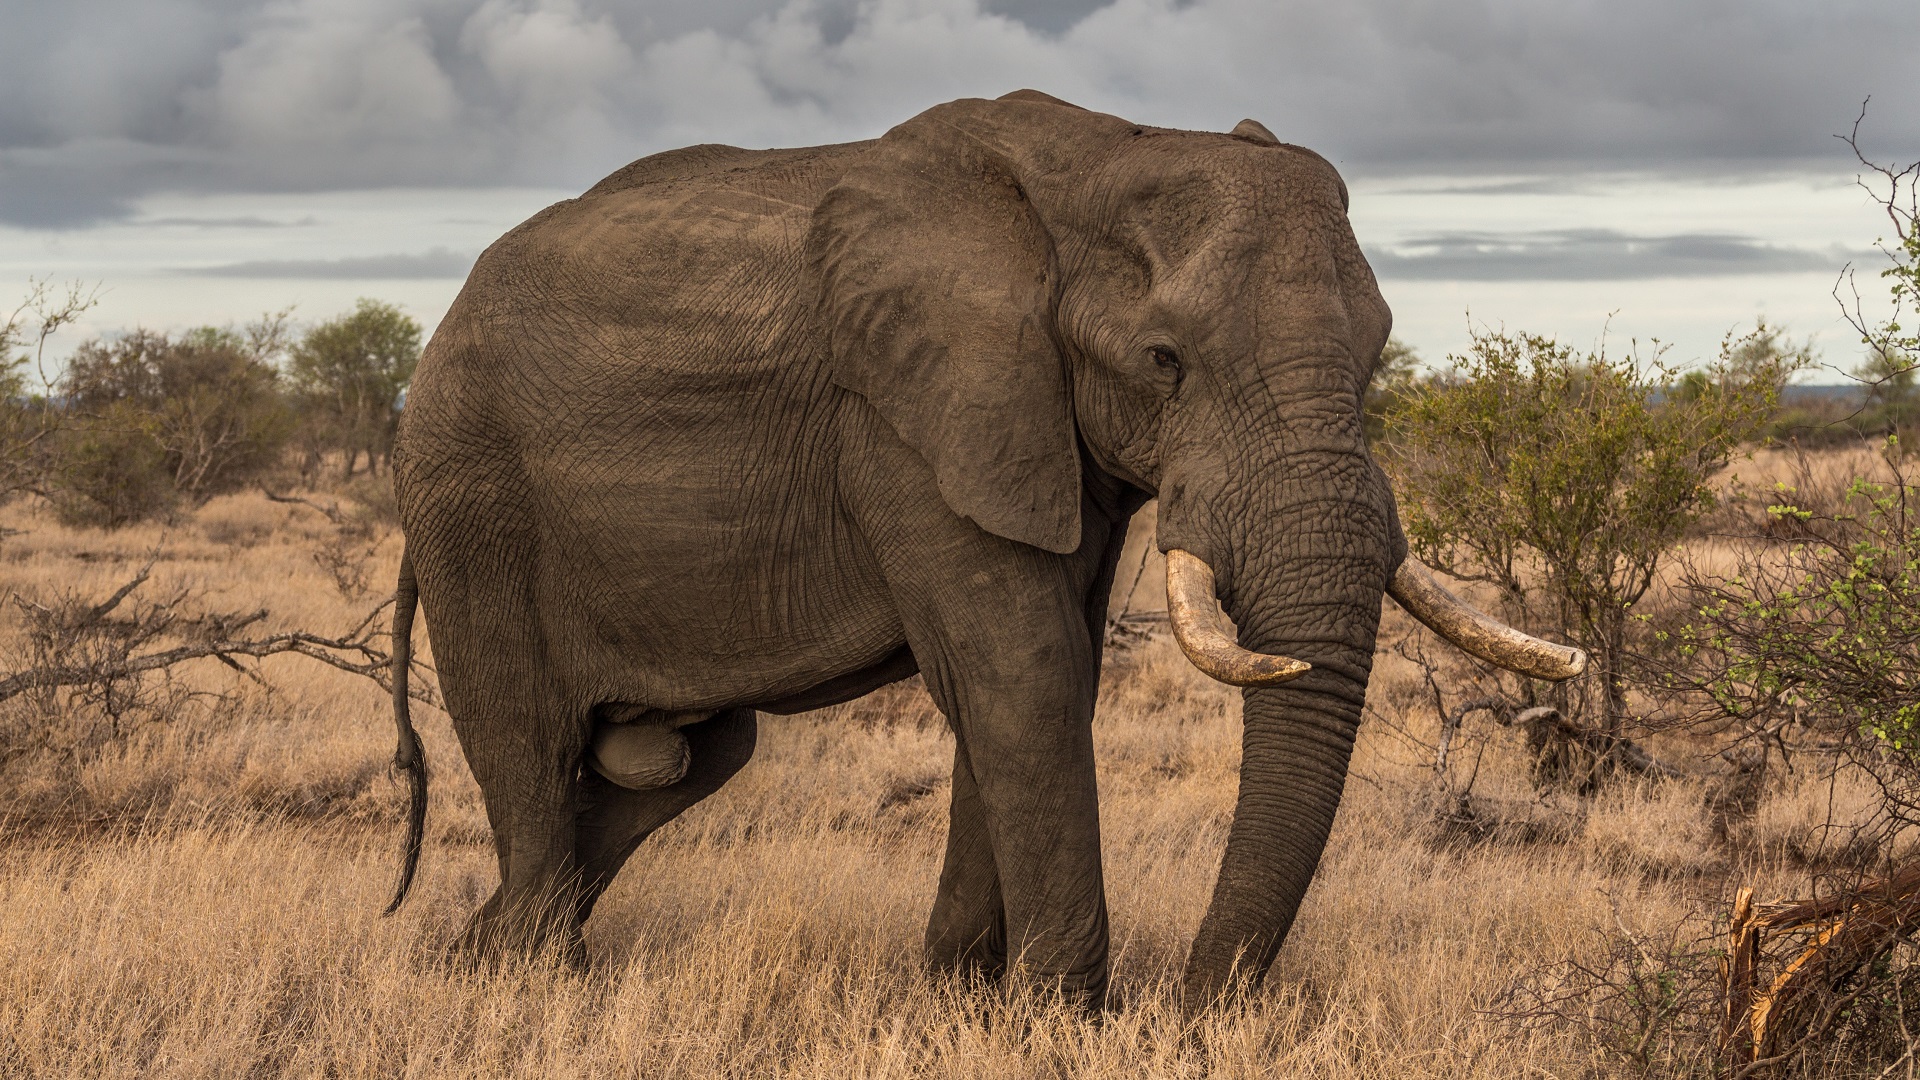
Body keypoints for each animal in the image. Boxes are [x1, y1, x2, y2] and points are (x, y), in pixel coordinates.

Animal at [383, 89, 1584, 1008]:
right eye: (1165, 360)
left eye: (1378, 353)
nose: (1198, 1008)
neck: (1097, 158)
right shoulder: (906, 416)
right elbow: (1025, 671)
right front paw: (1058, 1016)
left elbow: (1043, 673)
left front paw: (957, 997)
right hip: (470, 494)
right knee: (531, 740)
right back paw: (528, 975)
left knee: (687, 760)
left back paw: (477, 950)